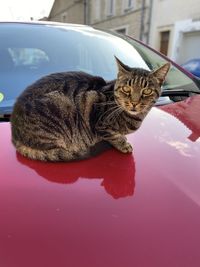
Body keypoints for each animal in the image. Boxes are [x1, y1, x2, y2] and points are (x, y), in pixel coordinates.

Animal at [10, 56, 170, 161]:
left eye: (147, 91)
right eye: (126, 89)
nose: (134, 103)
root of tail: (15, 136)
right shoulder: (98, 117)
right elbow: (113, 136)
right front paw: (123, 144)